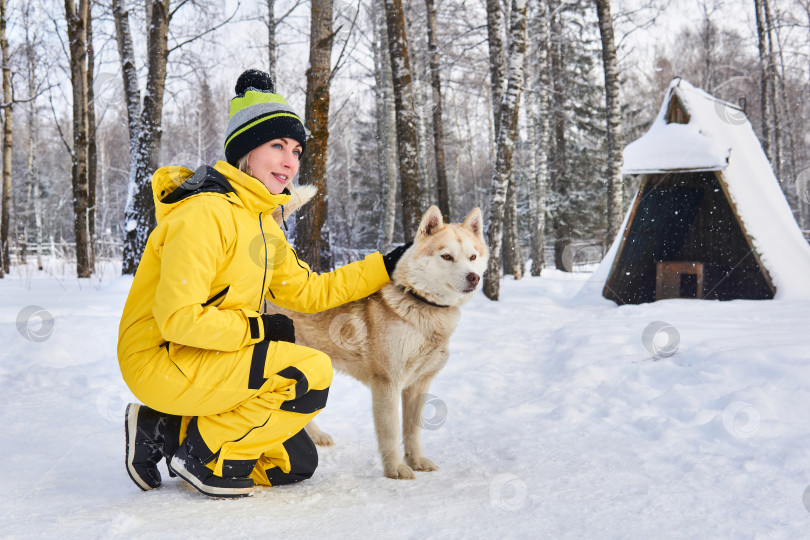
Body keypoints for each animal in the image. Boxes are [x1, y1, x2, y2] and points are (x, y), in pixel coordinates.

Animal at [268, 205, 490, 478]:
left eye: (472, 257)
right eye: (446, 256)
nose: (473, 278)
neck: (419, 304)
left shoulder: (418, 385)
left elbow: (412, 431)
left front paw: (416, 461)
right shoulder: (387, 383)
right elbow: (391, 432)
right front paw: (395, 469)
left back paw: (317, 436)